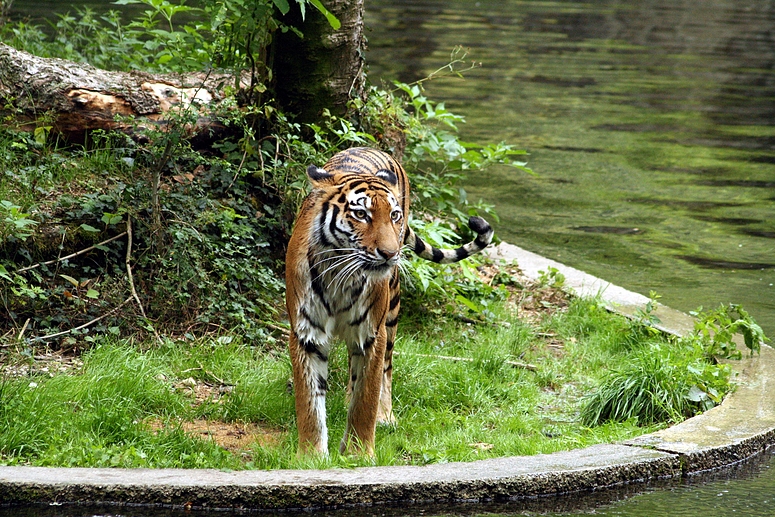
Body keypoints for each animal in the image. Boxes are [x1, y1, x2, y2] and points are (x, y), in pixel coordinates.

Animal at [284, 146, 492, 456]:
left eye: (393, 215)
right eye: (361, 214)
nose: (391, 254)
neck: (338, 273)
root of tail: (369, 147)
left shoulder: (372, 333)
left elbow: (366, 398)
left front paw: (359, 453)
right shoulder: (306, 333)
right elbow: (309, 402)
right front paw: (311, 455)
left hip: (392, 311)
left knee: (386, 368)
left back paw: (385, 415)